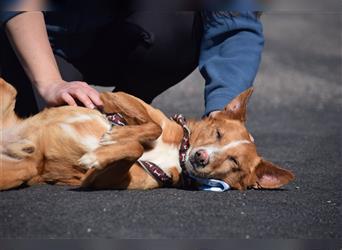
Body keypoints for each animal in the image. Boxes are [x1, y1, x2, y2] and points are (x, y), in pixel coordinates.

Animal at [0, 78, 294, 191]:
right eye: (218, 133)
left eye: (234, 162)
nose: (200, 157)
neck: (178, 153)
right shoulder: (118, 97)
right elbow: (152, 126)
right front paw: (117, 136)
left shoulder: (96, 180)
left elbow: (134, 149)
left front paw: (106, 149)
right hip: (9, 89)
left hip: (23, 169)